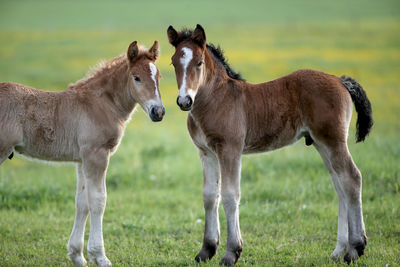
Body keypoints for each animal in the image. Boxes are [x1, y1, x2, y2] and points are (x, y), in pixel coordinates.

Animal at [0, 40, 164, 266]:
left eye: (159, 77)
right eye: (136, 77)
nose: (159, 112)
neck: (101, 104)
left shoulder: (82, 159)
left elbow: (82, 202)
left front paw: (77, 255)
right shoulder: (96, 154)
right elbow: (98, 200)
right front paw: (100, 256)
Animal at [167, 24, 374, 266]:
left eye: (199, 62)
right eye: (173, 62)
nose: (184, 101)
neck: (215, 99)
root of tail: (340, 80)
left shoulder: (230, 150)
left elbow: (230, 195)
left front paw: (231, 253)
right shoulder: (206, 152)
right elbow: (210, 196)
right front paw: (206, 250)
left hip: (333, 140)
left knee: (352, 178)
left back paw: (355, 249)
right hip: (321, 143)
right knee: (340, 186)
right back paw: (339, 250)